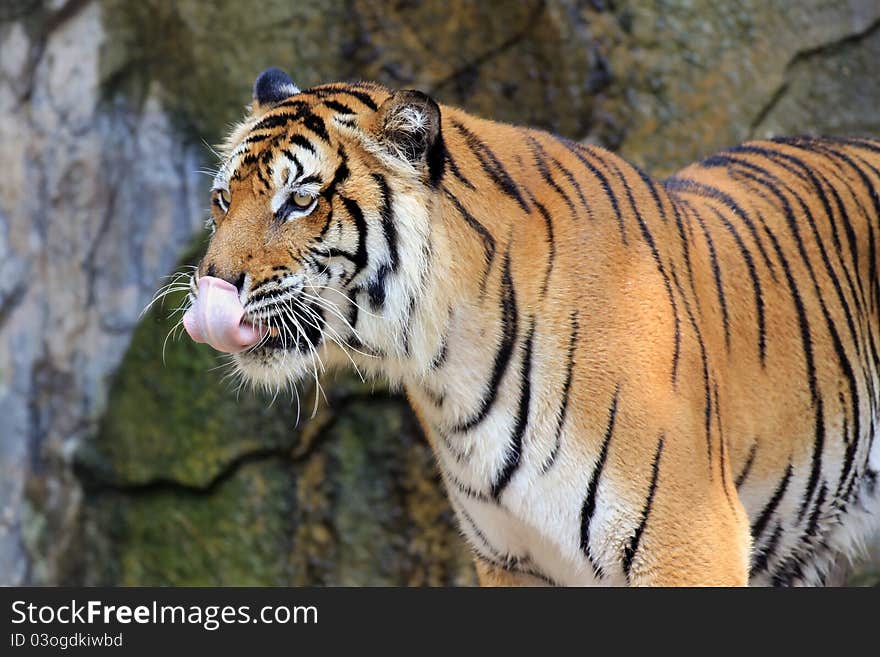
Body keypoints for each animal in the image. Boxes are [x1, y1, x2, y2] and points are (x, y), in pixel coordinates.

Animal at [177, 66, 880, 588]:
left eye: (299, 200)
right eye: (222, 200)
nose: (212, 287)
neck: (446, 364)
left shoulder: (689, 535)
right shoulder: (509, 557)